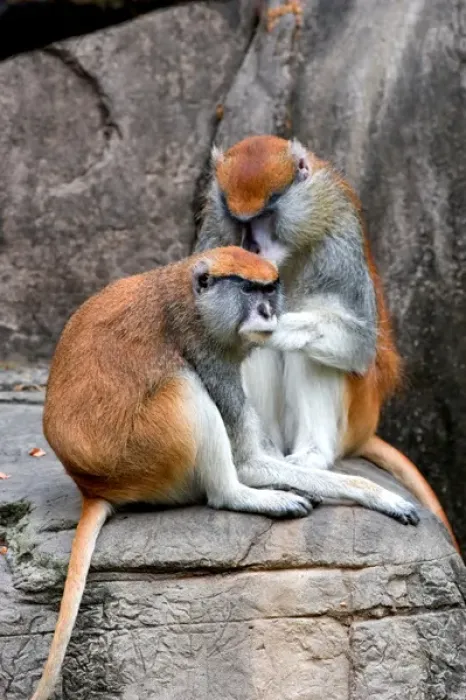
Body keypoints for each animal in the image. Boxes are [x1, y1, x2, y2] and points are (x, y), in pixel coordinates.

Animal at [32, 246, 420, 700]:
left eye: (270, 288)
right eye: (248, 290)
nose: (268, 312)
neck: (191, 297)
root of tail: (91, 486)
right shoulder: (206, 348)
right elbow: (248, 458)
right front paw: (378, 494)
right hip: (145, 457)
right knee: (184, 386)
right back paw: (244, 495)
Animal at [196, 135, 458, 550]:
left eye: (267, 216)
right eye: (239, 222)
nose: (251, 248)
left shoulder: (337, 240)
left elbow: (358, 343)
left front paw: (277, 326)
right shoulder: (215, 241)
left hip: (358, 411)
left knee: (313, 353)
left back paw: (311, 456)